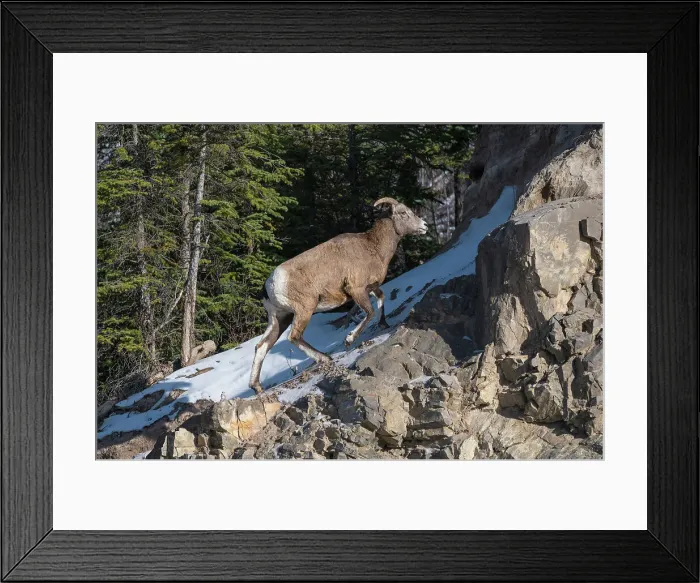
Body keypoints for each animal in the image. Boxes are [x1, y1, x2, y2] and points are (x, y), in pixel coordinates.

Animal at [249, 197, 428, 394]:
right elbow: (370, 313)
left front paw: (383, 324)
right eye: (403, 212)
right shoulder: (356, 290)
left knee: (261, 346)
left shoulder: (371, 288)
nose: (424, 225)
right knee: (294, 336)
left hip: (280, 318)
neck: (373, 247)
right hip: (305, 309)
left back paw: (257, 387)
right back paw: (325, 358)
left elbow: (381, 298)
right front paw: (349, 339)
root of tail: (269, 285)